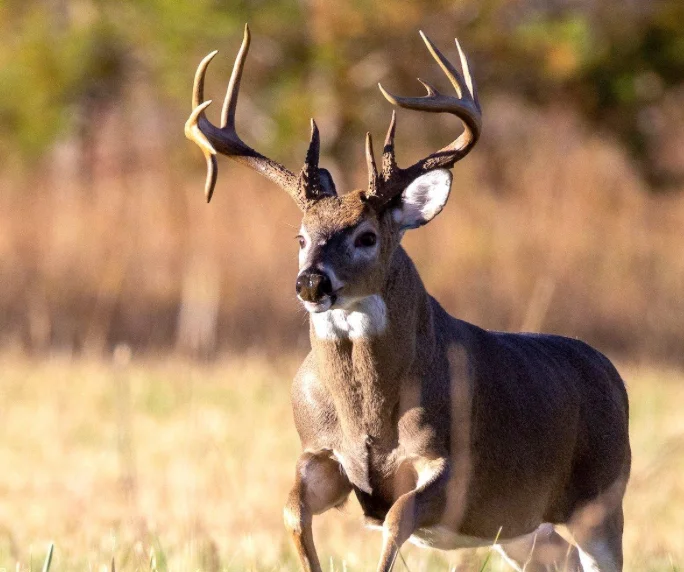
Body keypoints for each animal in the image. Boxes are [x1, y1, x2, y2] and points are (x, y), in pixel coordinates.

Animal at [185, 25, 631, 572]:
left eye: (367, 236)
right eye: (301, 236)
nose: (311, 283)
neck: (367, 419)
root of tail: (611, 373)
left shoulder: (450, 465)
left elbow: (396, 520)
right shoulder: (320, 454)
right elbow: (291, 509)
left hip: (602, 499)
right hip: (521, 529)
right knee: (558, 556)